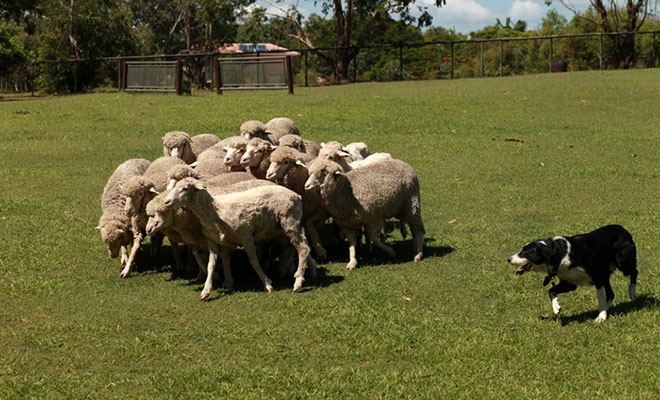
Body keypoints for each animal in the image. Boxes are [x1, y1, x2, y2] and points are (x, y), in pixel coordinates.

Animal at [161, 179, 314, 300]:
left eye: (185, 189)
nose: (166, 202)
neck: (216, 211)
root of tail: (296, 195)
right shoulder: (213, 241)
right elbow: (211, 265)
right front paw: (207, 290)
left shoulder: (246, 236)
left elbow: (253, 261)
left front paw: (267, 283)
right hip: (285, 228)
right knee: (302, 245)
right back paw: (307, 271)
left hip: (289, 221)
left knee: (302, 248)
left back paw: (298, 281)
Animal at [508, 225, 636, 322]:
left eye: (525, 253)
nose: (508, 259)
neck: (559, 254)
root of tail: (623, 228)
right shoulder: (569, 284)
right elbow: (551, 291)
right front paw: (556, 308)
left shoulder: (597, 277)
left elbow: (600, 297)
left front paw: (601, 317)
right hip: (606, 274)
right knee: (610, 294)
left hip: (623, 261)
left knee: (634, 271)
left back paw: (631, 291)